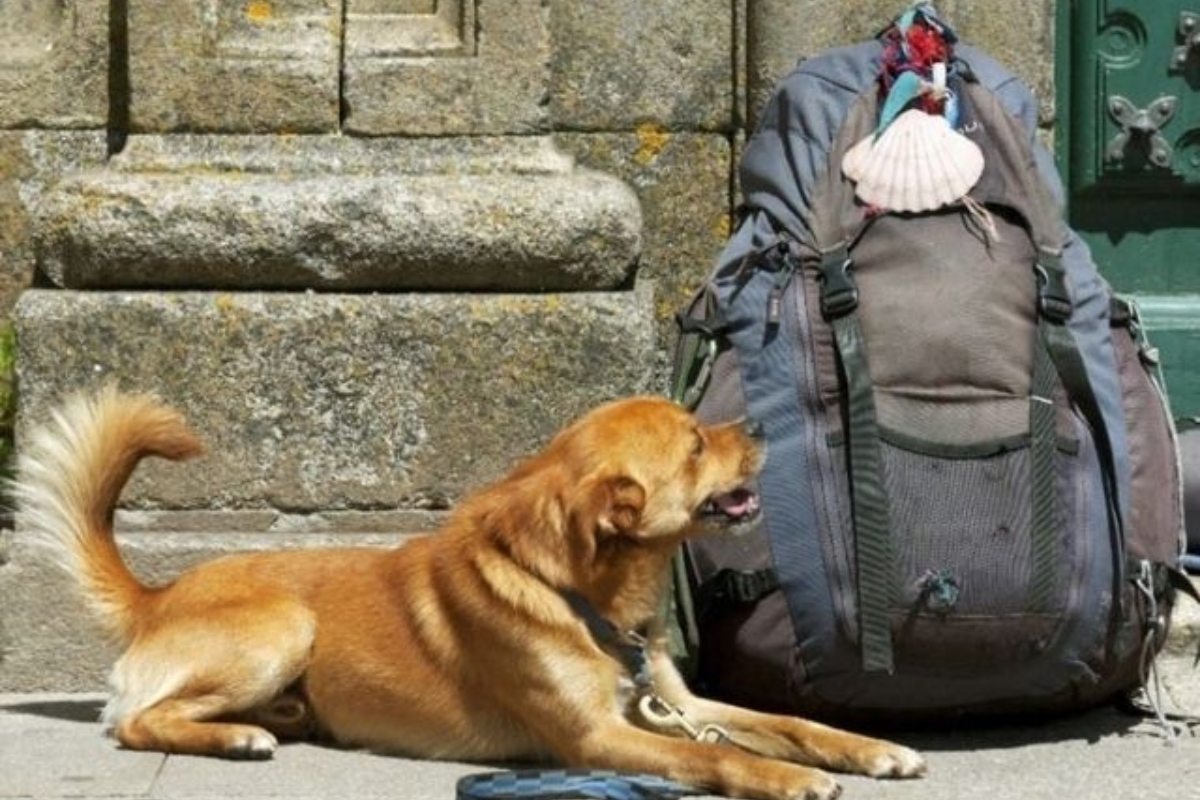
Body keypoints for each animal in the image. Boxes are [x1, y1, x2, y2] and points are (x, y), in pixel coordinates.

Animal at [14, 383, 921, 796]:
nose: (763, 423)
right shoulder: (595, 739)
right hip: (282, 627)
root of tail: (158, 594)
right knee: (136, 721)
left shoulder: (682, 704)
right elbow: (720, 757)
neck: (582, 597)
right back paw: (238, 735)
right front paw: (785, 780)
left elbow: (789, 724)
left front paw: (870, 747)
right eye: (697, 443)